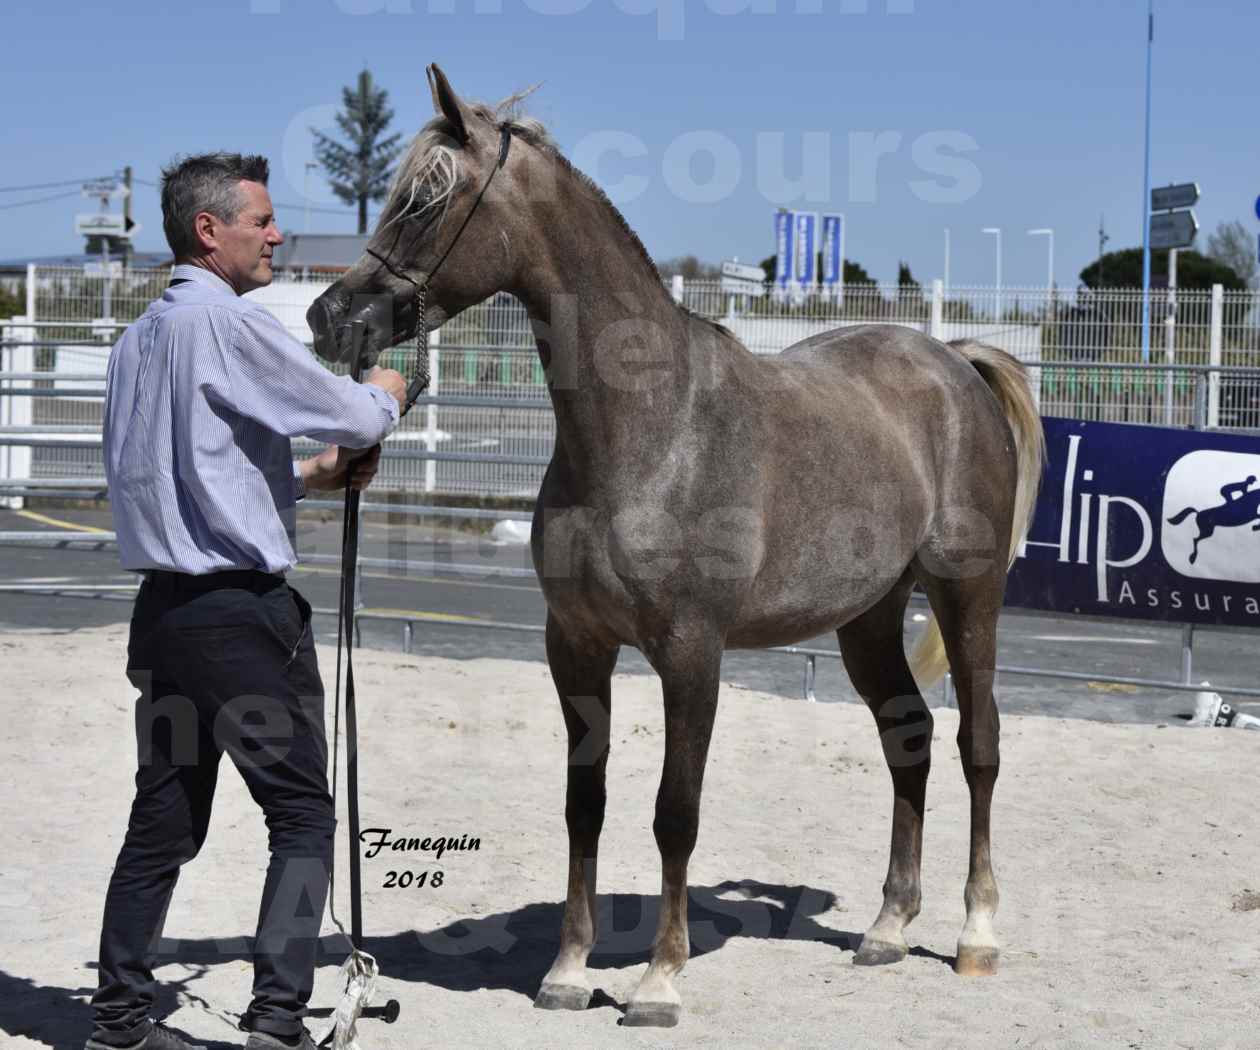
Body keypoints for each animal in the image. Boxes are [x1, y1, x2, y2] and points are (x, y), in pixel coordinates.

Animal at [309, 63, 1048, 1023]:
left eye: (427, 201)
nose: (330, 317)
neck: (652, 430)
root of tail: (954, 361)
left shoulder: (692, 654)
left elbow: (674, 810)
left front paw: (660, 979)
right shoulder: (575, 647)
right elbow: (584, 803)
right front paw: (568, 971)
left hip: (968, 596)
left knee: (977, 746)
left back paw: (974, 935)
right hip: (868, 618)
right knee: (909, 739)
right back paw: (887, 927)